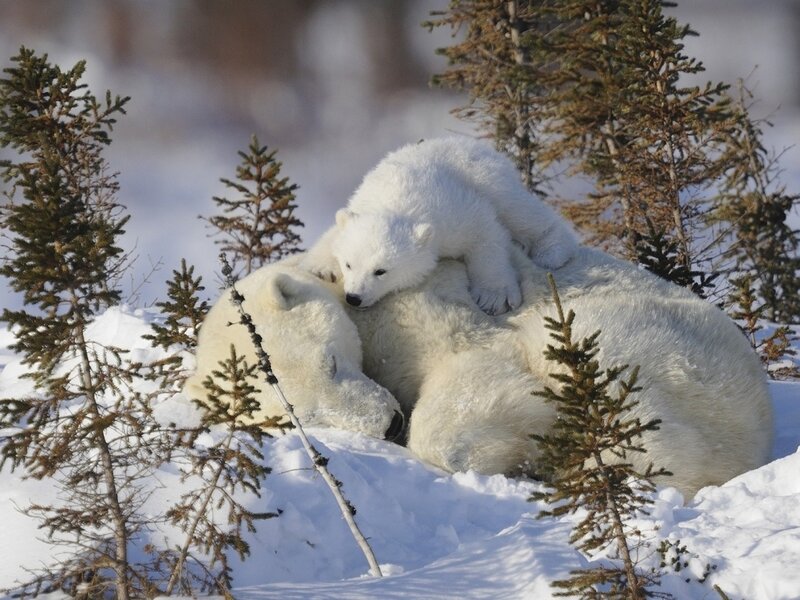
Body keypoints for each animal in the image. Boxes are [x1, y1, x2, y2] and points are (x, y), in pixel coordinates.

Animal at [300, 137, 579, 315]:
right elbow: (336, 232)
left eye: (381, 271)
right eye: (348, 264)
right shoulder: (362, 200)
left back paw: (551, 251)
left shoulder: (455, 213)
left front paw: (493, 297)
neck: (396, 200)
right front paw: (322, 266)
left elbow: (485, 233)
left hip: (489, 178)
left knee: (519, 211)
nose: (354, 298)